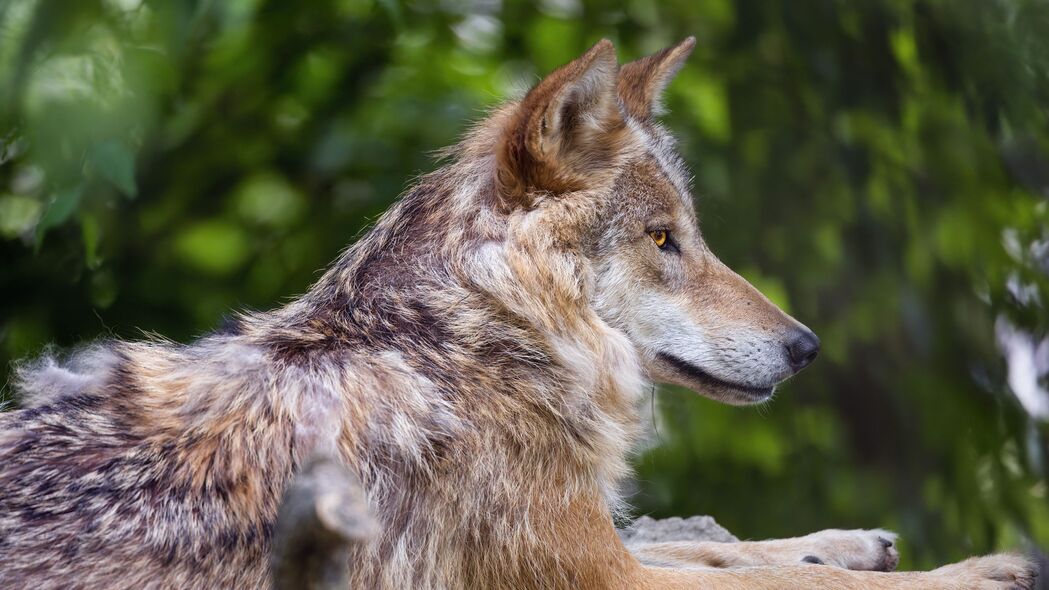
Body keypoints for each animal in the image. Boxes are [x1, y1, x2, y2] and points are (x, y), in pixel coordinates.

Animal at [0, 39, 1032, 583]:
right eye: (664, 240)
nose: (807, 346)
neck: (474, 341)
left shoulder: (600, 543)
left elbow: (744, 556)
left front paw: (848, 542)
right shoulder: (596, 568)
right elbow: (759, 575)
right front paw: (978, 567)